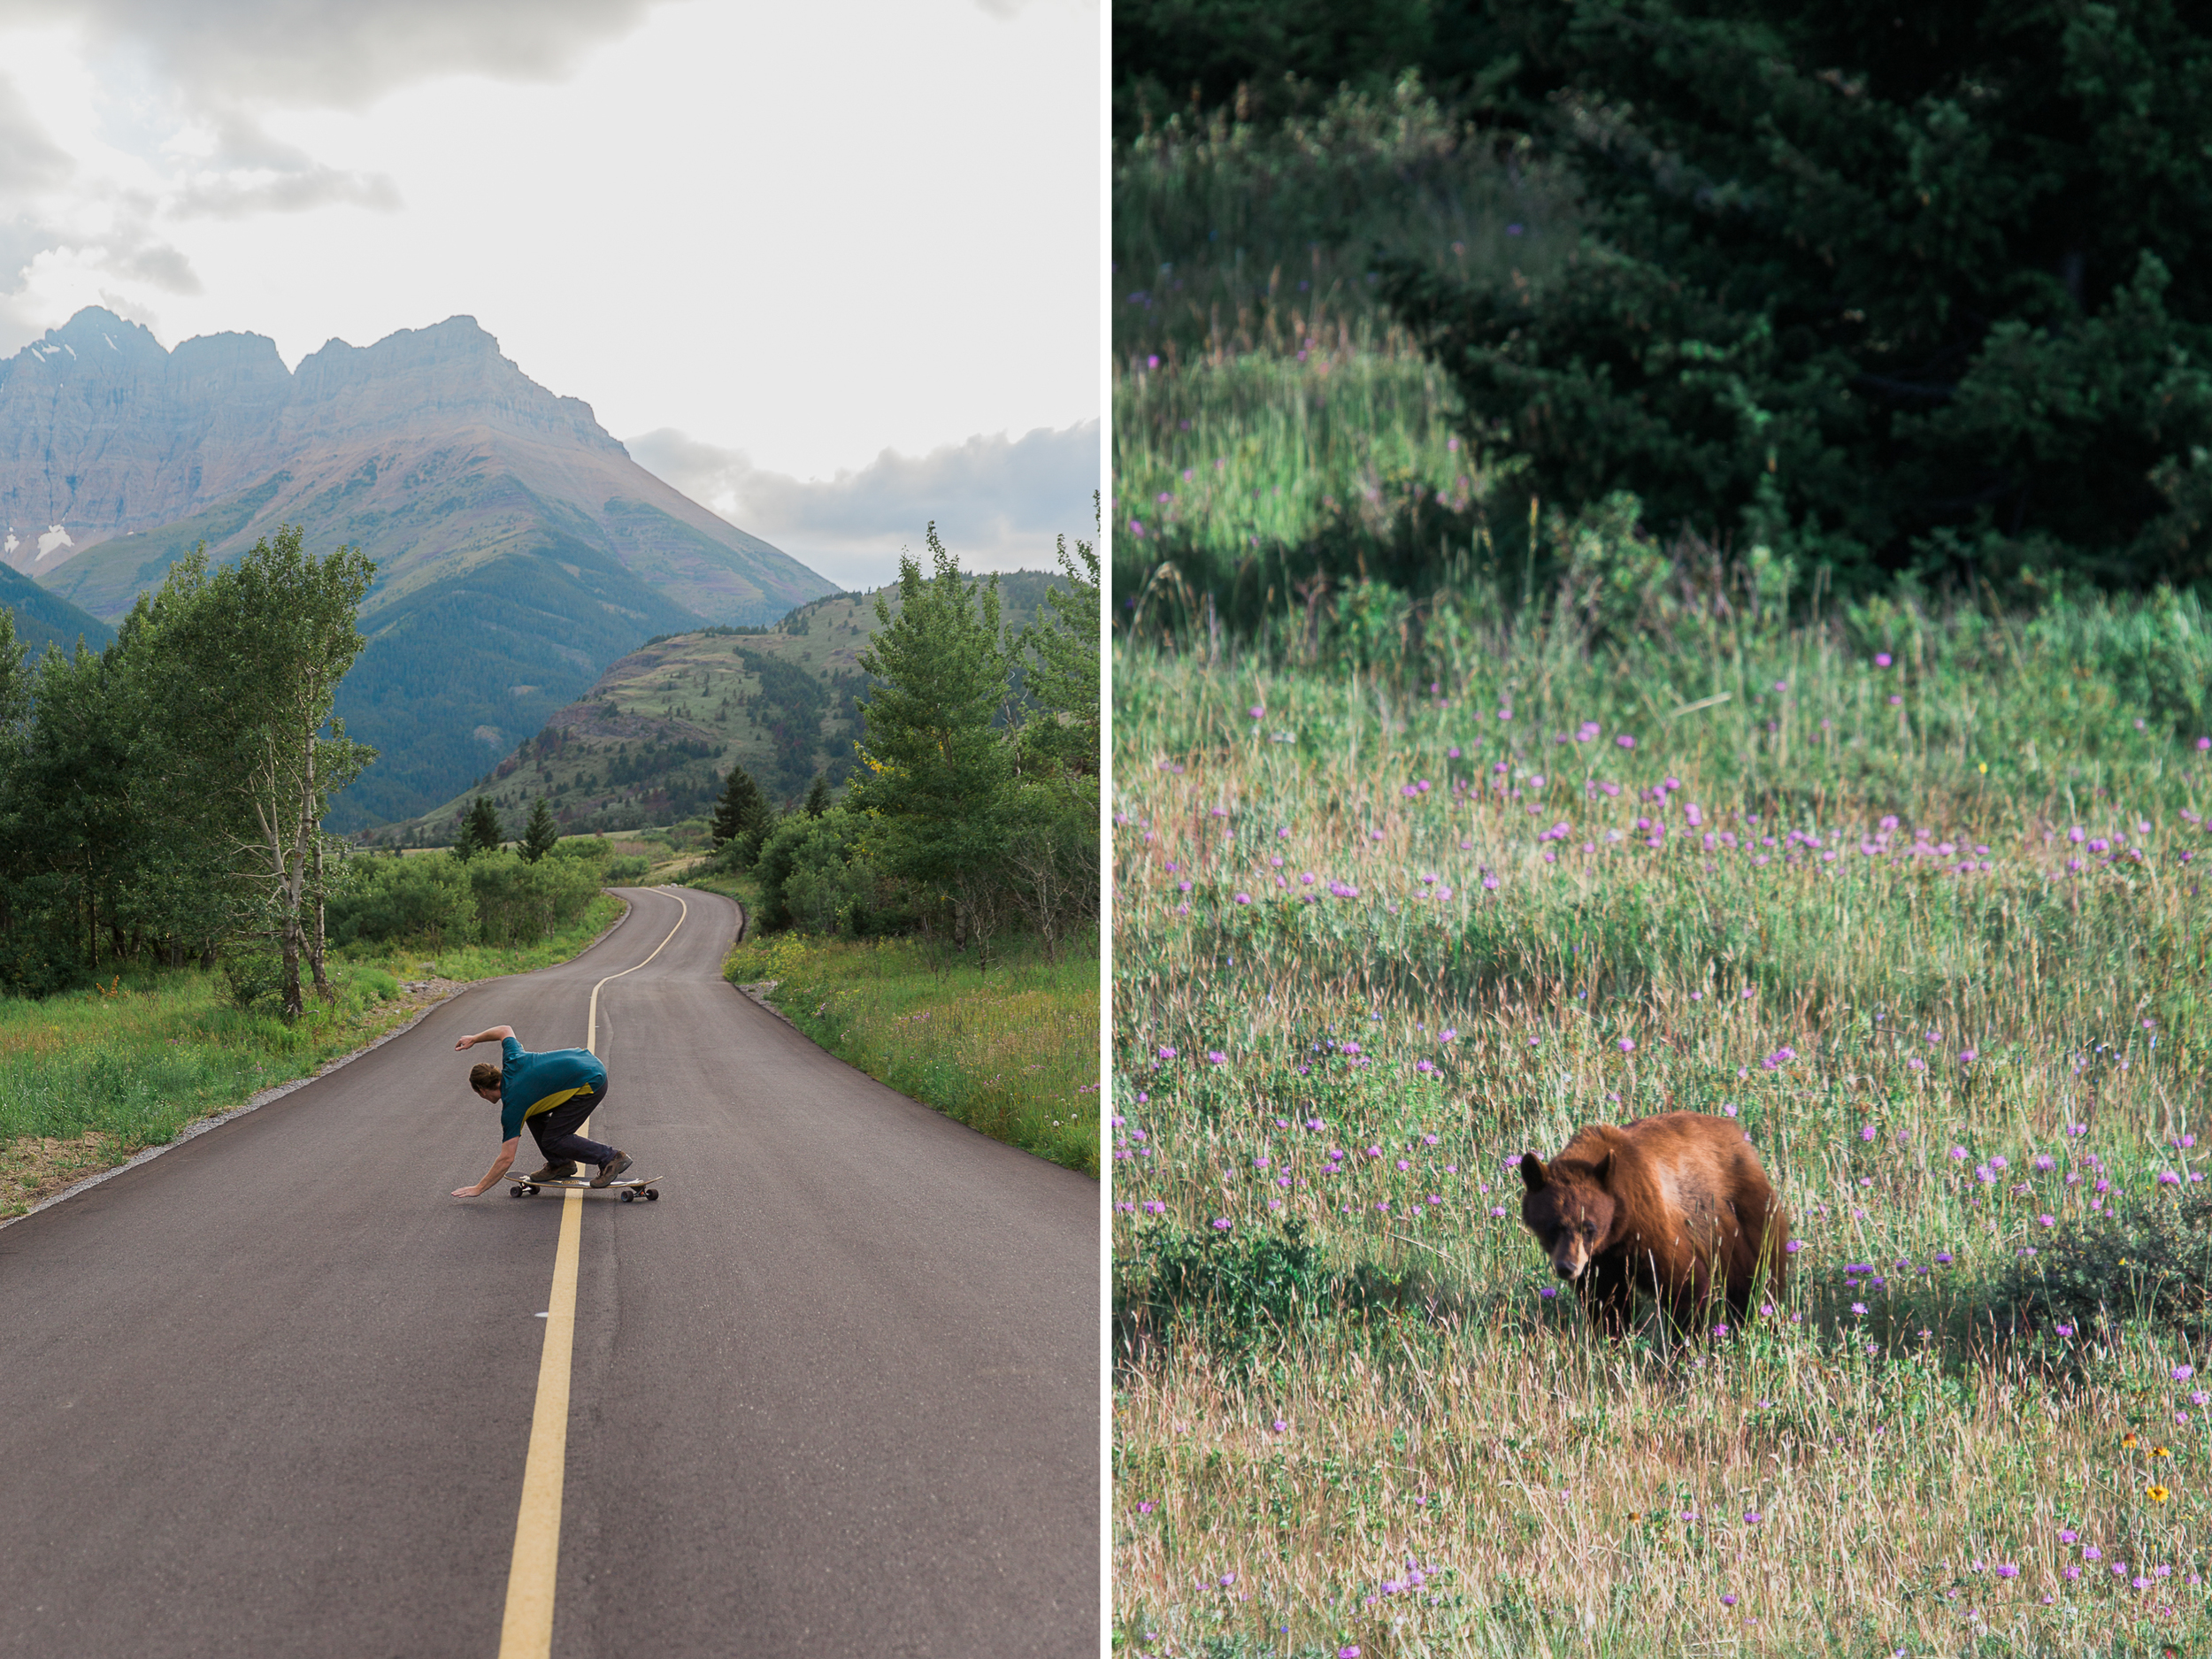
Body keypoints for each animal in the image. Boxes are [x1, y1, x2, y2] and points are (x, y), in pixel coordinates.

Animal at [1522, 1119, 1778, 1336]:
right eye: (1554, 1227)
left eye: (1589, 1228)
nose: (1568, 1267)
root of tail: (1738, 1133)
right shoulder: (1600, 1260)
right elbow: (1606, 1300)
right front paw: (1613, 1338)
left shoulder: (1653, 1227)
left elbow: (1684, 1285)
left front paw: (1684, 1343)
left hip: (1744, 1215)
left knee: (1757, 1276)